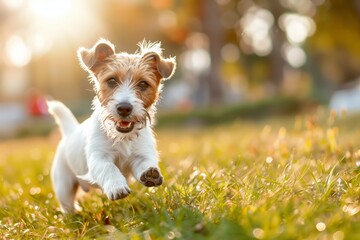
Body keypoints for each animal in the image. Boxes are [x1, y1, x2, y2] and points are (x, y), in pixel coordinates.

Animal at [47, 38, 176, 211]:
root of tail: (70, 132)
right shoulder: (98, 157)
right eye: (112, 80)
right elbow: (109, 168)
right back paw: (73, 214)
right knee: (67, 204)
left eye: (143, 84)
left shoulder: (141, 153)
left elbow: (145, 162)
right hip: (63, 185)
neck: (122, 137)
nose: (124, 108)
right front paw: (116, 186)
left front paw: (150, 174)